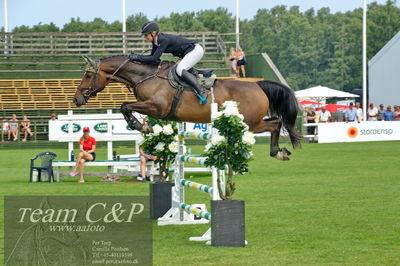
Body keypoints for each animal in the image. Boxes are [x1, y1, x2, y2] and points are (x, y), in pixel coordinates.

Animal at [74, 54, 300, 160]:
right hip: (251, 121)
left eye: (88, 75)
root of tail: (257, 84)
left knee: (275, 124)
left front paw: (141, 126)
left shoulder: (157, 108)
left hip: (251, 123)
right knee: (276, 121)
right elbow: (126, 106)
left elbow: (124, 106)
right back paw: (280, 151)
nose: (76, 99)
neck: (146, 75)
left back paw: (277, 152)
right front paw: (142, 126)